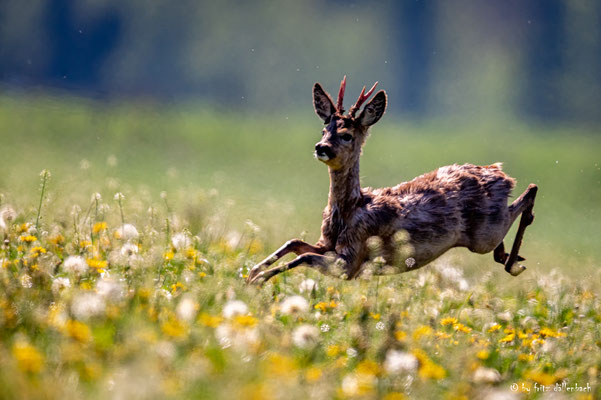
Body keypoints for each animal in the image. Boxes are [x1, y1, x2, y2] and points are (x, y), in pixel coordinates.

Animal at [246, 76, 536, 284]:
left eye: (347, 135)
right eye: (324, 129)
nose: (321, 147)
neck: (350, 210)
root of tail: (500, 174)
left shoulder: (350, 261)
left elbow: (303, 256)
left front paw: (258, 280)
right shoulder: (326, 245)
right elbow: (295, 242)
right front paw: (251, 273)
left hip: (484, 234)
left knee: (529, 192)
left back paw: (513, 262)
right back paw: (509, 256)